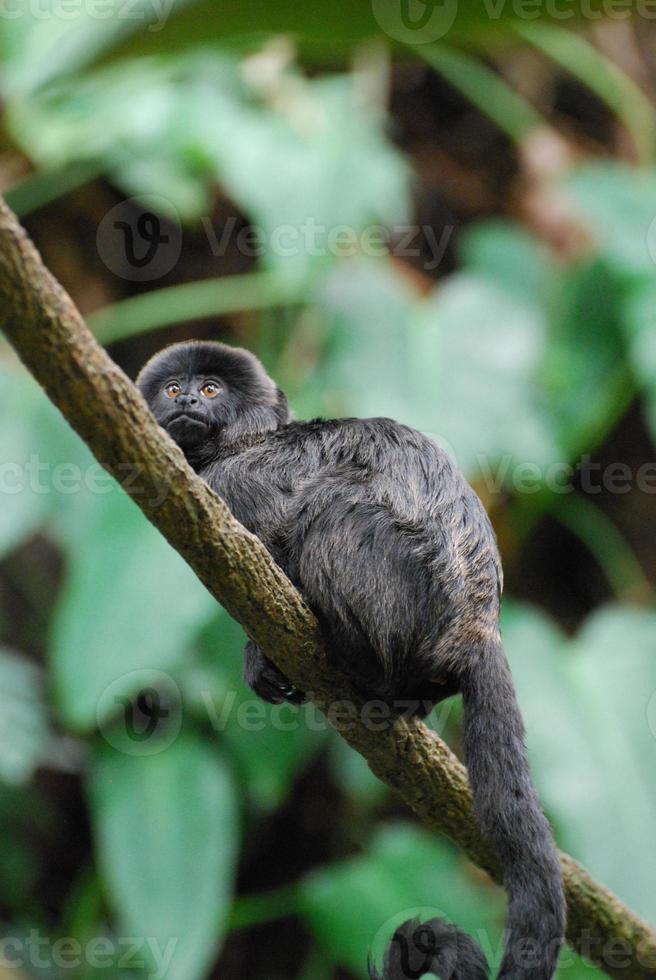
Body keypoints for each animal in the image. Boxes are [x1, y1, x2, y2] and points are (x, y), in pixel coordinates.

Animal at [137, 342, 564, 980]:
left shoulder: (239, 482)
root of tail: (476, 624)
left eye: (211, 389)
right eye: (173, 390)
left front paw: (260, 653)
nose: (187, 399)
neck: (244, 443)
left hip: (399, 581)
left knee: (334, 503)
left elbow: (274, 535)